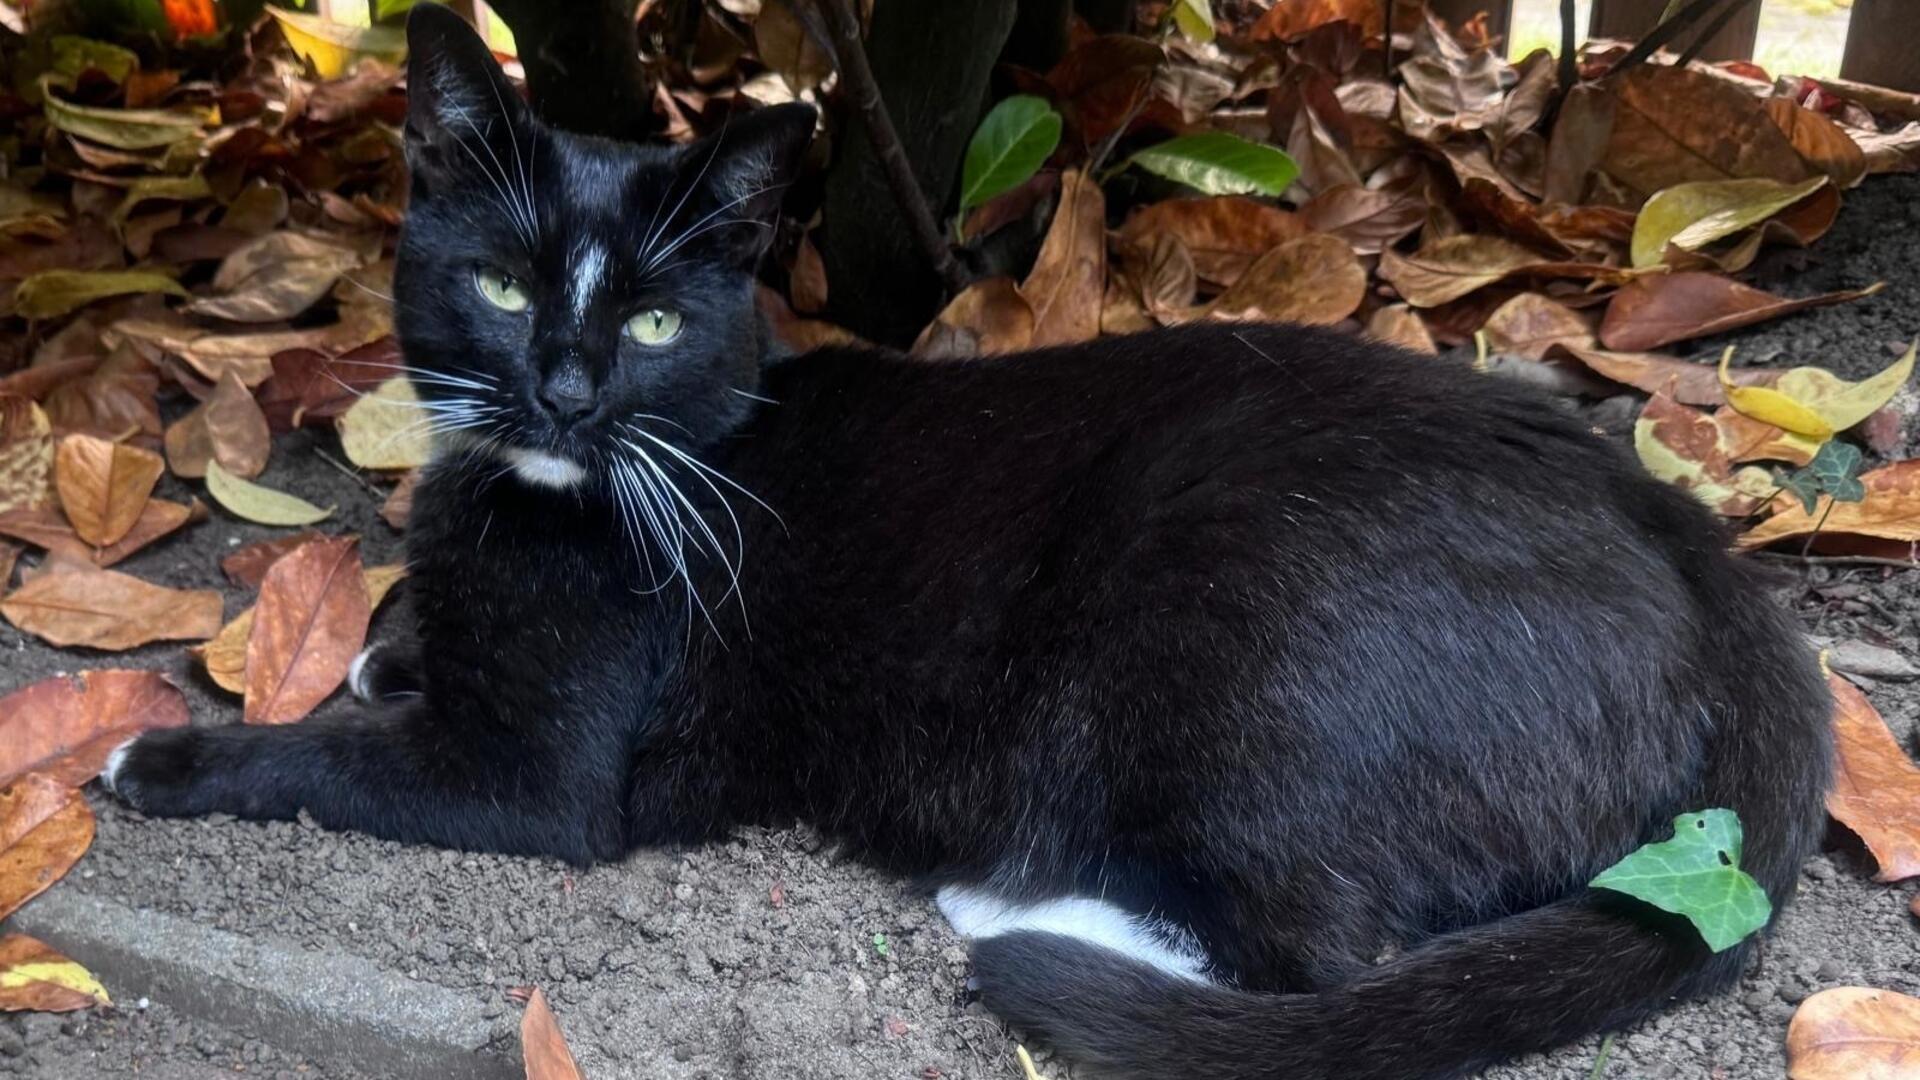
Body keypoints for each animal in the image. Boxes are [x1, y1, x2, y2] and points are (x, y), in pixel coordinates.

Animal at [101, 4, 1827, 1068]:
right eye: (505, 286)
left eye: (651, 319)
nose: (567, 387)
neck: (584, 481)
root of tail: (1695, 548)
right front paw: (387, 646)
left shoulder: (541, 781)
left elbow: (337, 763)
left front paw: (163, 756)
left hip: (1248, 610)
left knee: (1326, 956)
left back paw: (1024, 909)